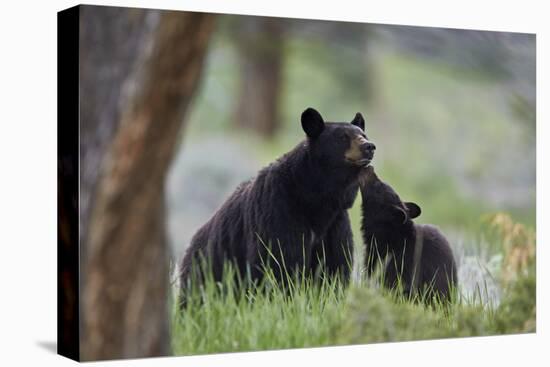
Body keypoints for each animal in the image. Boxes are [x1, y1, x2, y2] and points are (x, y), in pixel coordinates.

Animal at [179, 107, 378, 300]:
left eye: (363, 134)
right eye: (342, 137)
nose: (369, 146)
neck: (315, 197)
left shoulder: (335, 224)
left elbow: (334, 266)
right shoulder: (278, 210)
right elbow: (279, 261)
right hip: (206, 270)